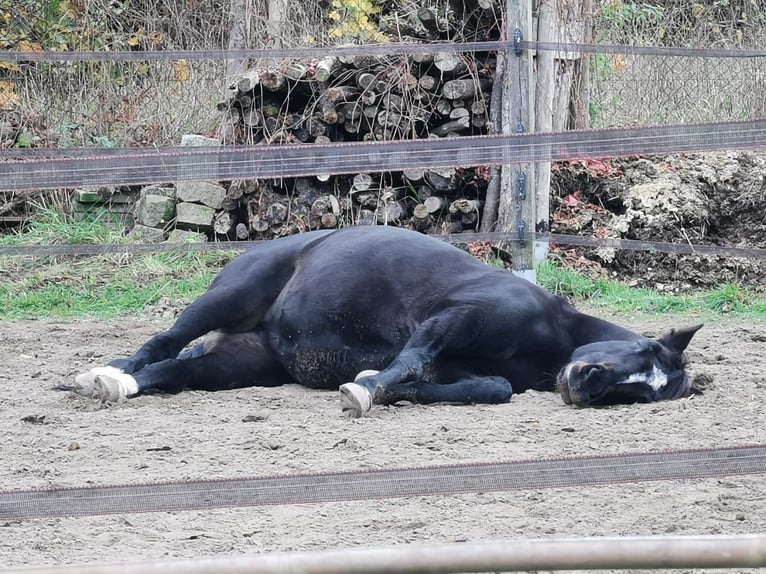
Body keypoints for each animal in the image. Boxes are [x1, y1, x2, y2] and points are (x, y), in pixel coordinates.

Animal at [72, 225, 704, 418]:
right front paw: (367, 390)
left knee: (176, 371)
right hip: (228, 298)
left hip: (242, 362)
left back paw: (122, 384)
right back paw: (107, 375)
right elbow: (412, 357)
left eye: (643, 394)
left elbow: (489, 387)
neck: (551, 333)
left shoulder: (468, 365)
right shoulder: (459, 315)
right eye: (643, 350)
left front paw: (396, 391)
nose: (589, 381)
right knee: (166, 341)